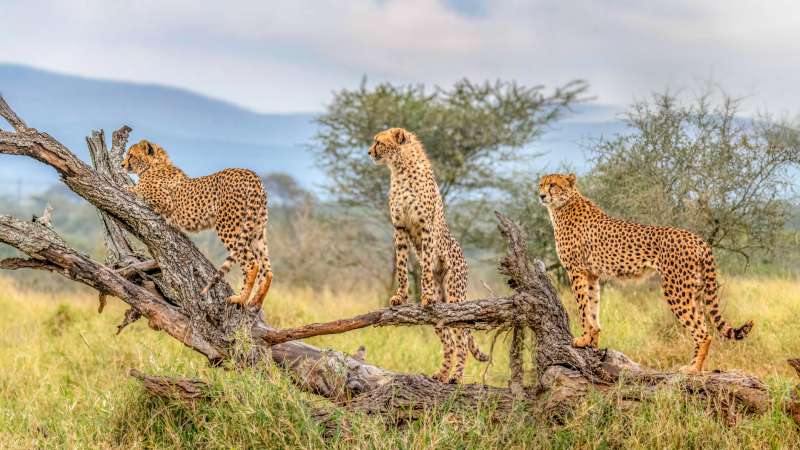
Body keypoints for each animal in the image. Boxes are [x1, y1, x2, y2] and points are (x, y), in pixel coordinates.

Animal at [123, 139, 272, 309]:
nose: (122, 164)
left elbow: (134, 189)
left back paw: (240, 298)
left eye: (131, 155)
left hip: (229, 227)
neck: (154, 165)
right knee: (267, 270)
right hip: (257, 231)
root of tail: (250, 174)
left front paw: (125, 187)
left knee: (252, 264)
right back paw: (256, 300)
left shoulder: (163, 202)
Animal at [369, 127, 489, 383]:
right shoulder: (400, 228)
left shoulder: (425, 228)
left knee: (461, 339)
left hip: (454, 295)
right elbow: (402, 267)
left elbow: (424, 266)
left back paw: (456, 377)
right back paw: (442, 374)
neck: (400, 168)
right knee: (449, 342)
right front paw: (400, 297)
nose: (369, 152)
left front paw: (424, 296)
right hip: (442, 310)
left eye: (379, 142)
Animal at [538, 173, 753, 373]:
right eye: (541, 184)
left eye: (553, 185)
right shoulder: (592, 274)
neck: (563, 205)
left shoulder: (577, 270)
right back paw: (694, 365)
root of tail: (697, 238)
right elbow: (593, 307)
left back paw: (693, 369)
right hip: (694, 290)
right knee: (703, 325)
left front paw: (582, 340)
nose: (541, 195)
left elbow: (583, 307)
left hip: (676, 290)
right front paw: (592, 342)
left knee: (703, 332)